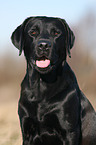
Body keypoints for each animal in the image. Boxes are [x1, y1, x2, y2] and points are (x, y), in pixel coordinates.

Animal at [11, 16, 96, 145]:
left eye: (56, 33)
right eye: (33, 32)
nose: (44, 45)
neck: (42, 85)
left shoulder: (69, 132)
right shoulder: (27, 132)